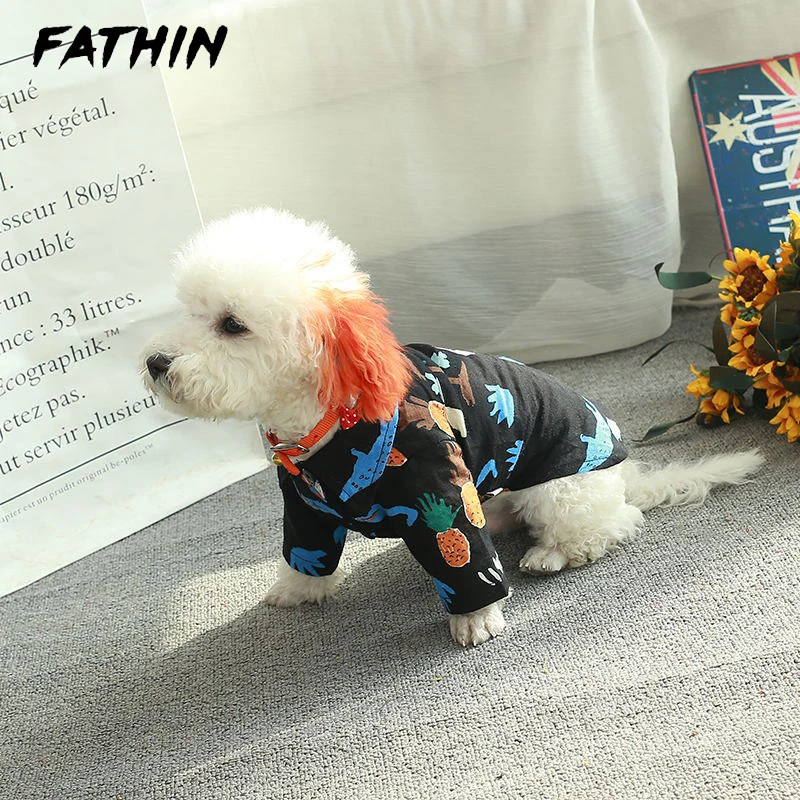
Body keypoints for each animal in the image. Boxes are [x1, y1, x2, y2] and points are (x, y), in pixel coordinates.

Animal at [141, 207, 764, 647]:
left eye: (232, 324)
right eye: (190, 310)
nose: (155, 362)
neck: (329, 424)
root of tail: (623, 471)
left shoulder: (439, 486)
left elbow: (465, 567)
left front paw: (476, 621)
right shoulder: (305, 505)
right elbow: (306, 553)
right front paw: (297, 589)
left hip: (561, 490)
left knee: (612, 525)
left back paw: (553, 553)